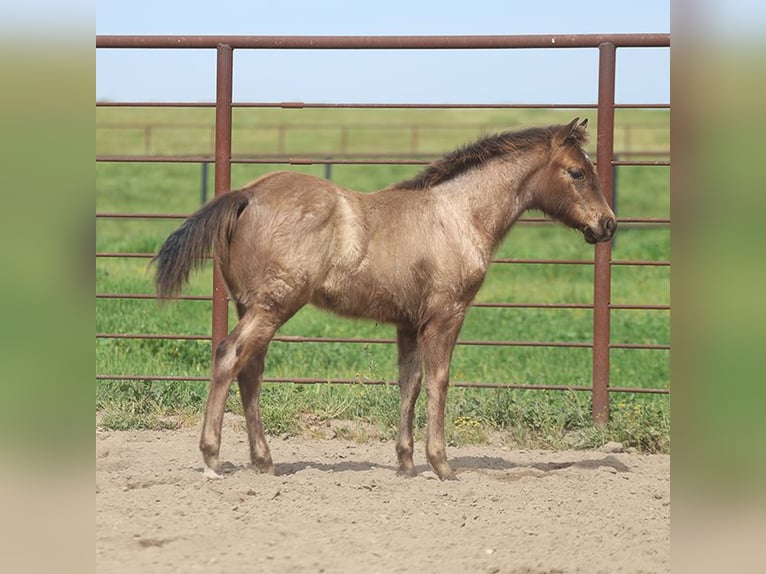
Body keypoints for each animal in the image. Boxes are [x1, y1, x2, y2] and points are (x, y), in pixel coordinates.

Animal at [153, 118, 616, 481]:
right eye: (577, 172)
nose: (608, 224)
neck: (457, 216)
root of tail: (246, 195)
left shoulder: (409, 323)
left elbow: (409, 383)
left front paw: (406, 464)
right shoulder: (447, 315)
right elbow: (438, 380)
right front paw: (441, 465)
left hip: (252, 307)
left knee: (250, 372)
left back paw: (265, 462)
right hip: (271, 308)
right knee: (229, 356)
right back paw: (212, 458)